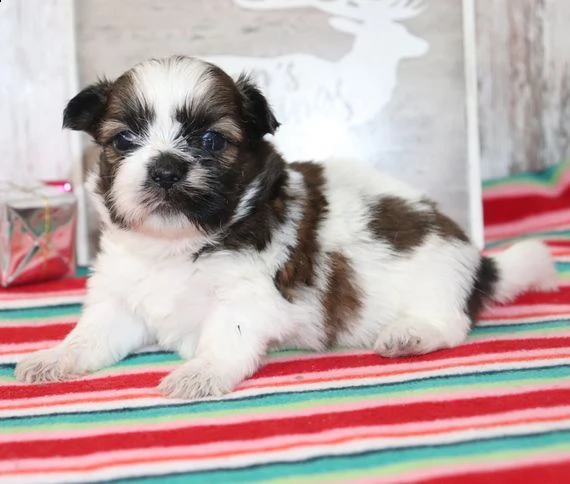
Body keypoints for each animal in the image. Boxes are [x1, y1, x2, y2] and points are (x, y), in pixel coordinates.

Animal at [14, 55, 556, 398]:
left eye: (211, 141)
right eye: (124, 140)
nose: (166, 169)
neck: (179, 245)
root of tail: (478, 264)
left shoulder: (248, 297)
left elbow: (224, 338)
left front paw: (199, 373)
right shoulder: (121, 300)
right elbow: (90, 336)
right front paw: (52, 357)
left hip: (435, 276)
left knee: (452, 323)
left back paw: (410, 335)